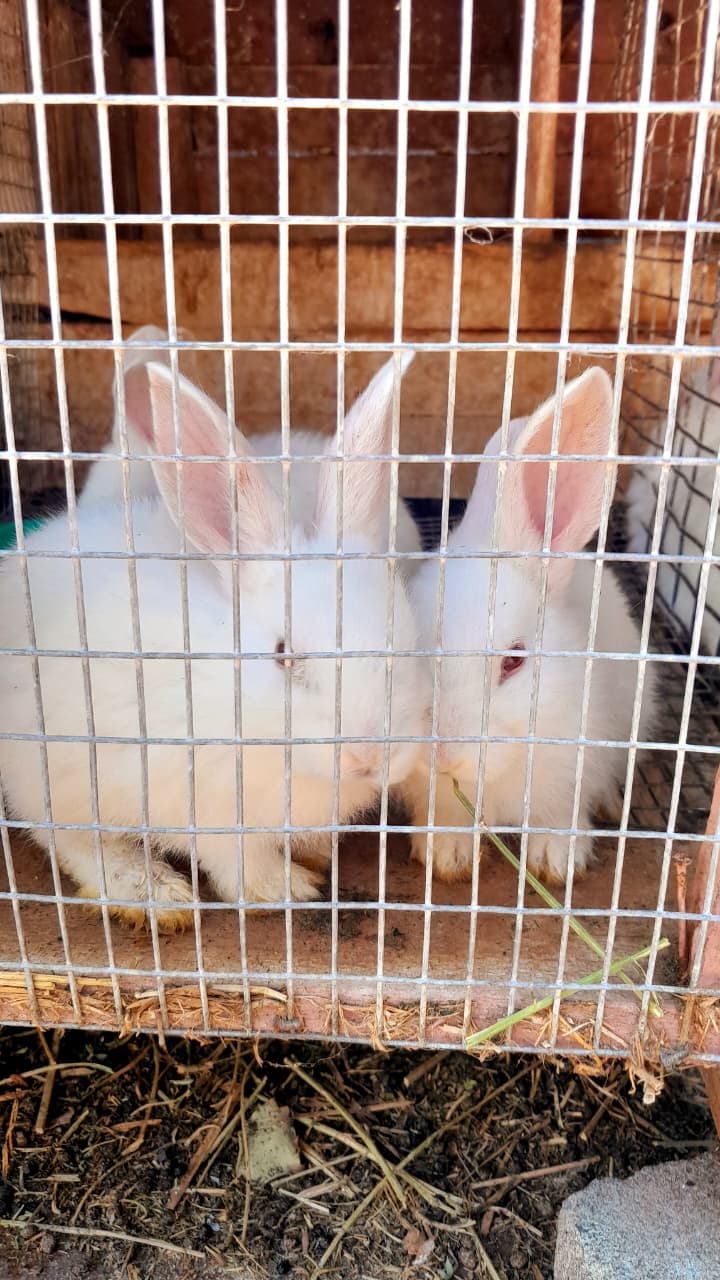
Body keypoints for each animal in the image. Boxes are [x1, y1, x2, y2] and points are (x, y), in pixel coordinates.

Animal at [0, 362, 429, 929]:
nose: (368, 757)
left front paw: (313, 853)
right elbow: (236, 861)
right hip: (52, 777)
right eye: (283, 654)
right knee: (68, 841)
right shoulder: (207, 809)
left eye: (405, 641)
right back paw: (155, 894)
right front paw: (286, 887)